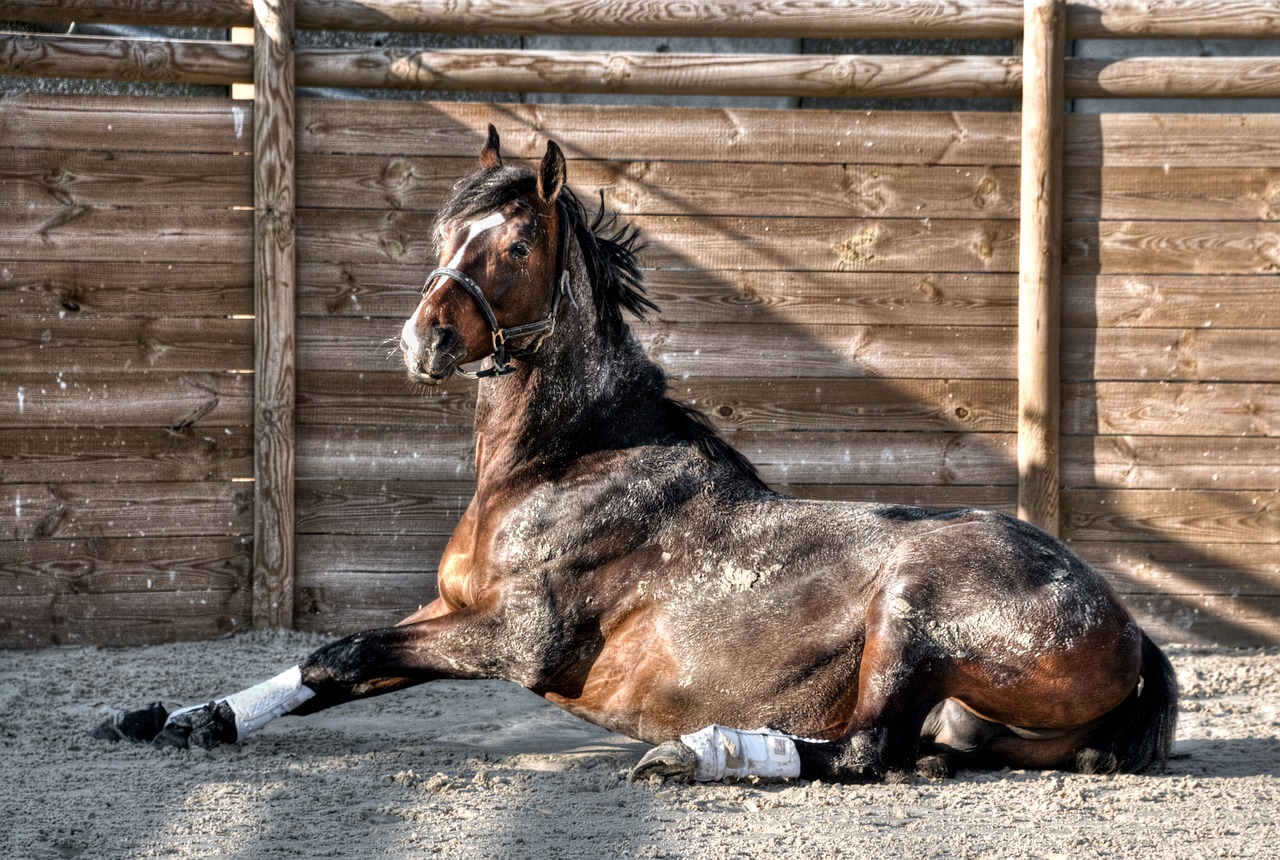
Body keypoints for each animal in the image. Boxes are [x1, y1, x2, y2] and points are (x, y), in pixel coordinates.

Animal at [97, 124, 1177, 783]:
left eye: (514, 247)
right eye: (445, 232)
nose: (422, 339)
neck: (564, 462)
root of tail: (1127, 625)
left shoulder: (513, 640)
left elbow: (341, 651)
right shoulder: (446, 613)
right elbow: (323, 666)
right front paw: (183, 716)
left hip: (911, 608)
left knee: (861, 748)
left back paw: (700, 753)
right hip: (957, 715)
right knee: (911, 753)